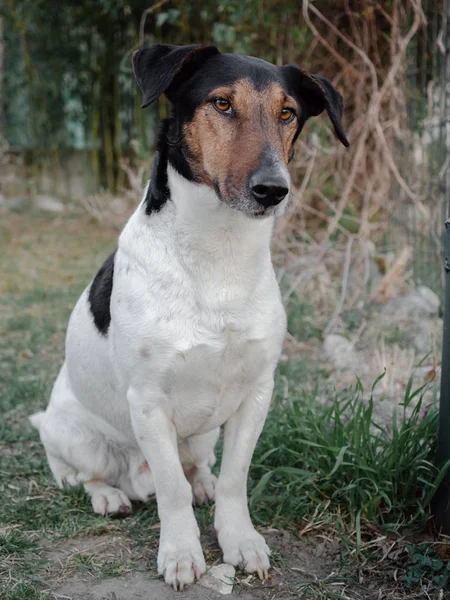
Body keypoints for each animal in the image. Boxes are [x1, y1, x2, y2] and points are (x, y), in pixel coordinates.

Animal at [29, 44, 350, 588]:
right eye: (221, 104)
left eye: (288, 113)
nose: (273, 190)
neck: (219, 252)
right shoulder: (148, 402)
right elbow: (171, 491)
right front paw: (180, 553)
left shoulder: (256, 393)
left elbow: (235, 481)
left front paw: (239, 539)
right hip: (72, 434)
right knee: (83, 474)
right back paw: (109, 495)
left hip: (203, 436)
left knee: (196, 468)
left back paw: (202, 483)